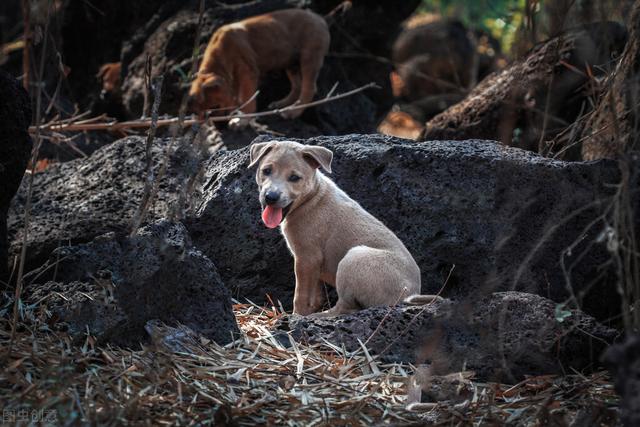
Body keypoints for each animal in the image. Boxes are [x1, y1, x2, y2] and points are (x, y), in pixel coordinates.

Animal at [188, 9, 330, 119]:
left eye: (214, 108)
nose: (207, 121)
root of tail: (320, 19)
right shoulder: (235, 77)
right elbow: (237, 95)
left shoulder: (248, 72)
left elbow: (246, 97)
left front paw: (241, 120)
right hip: (291, 63)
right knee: (297, 86)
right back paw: (282, 104)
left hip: (309, 58)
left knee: (309, 88)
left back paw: (293, 111)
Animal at [248, 141, 442, 318]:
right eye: (266, 171)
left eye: (294, 178)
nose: (270, 197)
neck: (311, 198)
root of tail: (409, 295)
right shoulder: (313, 264)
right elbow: (315, 295)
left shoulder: (306, 258)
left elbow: (301, 295)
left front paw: (297, 317)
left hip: (354, 258)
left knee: (344, 307)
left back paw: (320, 317)